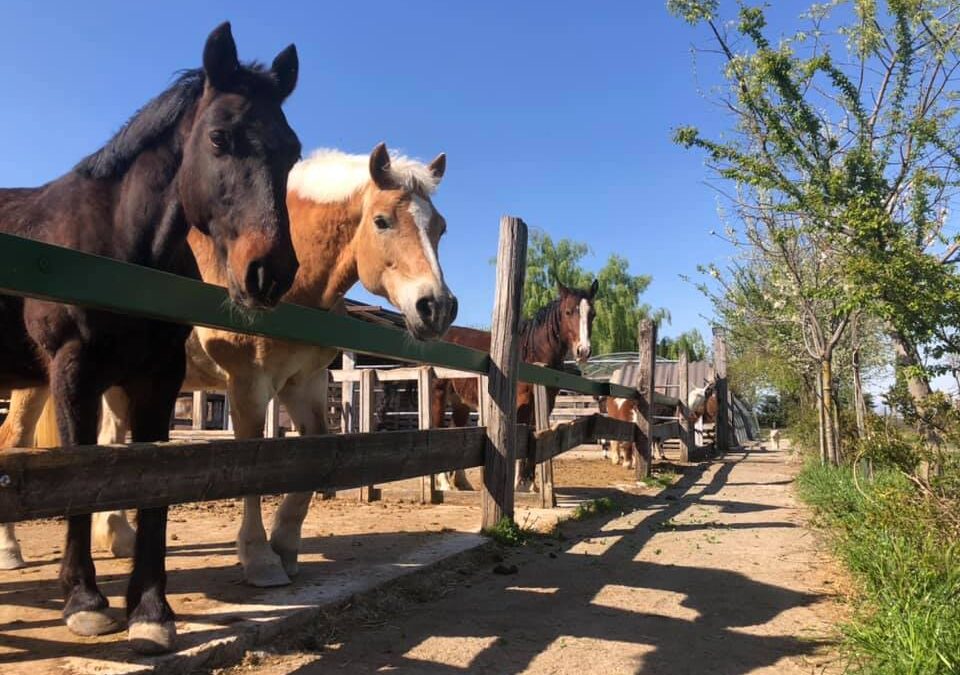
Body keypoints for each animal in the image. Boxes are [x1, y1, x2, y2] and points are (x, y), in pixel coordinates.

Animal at [0, 22, 300, 656]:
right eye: (219, 137)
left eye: (292, 149)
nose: (269, 272)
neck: (116, 249)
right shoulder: (74, 373)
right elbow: (81, 475)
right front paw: (85, 601)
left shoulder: (158, 382)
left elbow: (155, 488)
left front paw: (151, 611)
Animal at [86, 145, 454, 588]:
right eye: (382, 221)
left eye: (440, 228)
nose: (436, 307)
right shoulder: (248, 383)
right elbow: (252, 464)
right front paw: (260, 557)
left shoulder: (305, 383)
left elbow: (315, 458)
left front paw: (285, 546)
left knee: (111, 440)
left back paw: (117, 535)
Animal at [432, 280, 596, 492]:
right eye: (568, 312)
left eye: (592, 314)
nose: (583, 351)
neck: (532, 353)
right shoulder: (523, 404)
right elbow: (522, 436)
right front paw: (520, 484)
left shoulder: (544, 403)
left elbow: (534, 435)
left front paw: (531, 484)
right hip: (438, 393)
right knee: (438, 427)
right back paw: (444, 483)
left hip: (461, 401)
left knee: (458, 428)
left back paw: (462, 483)